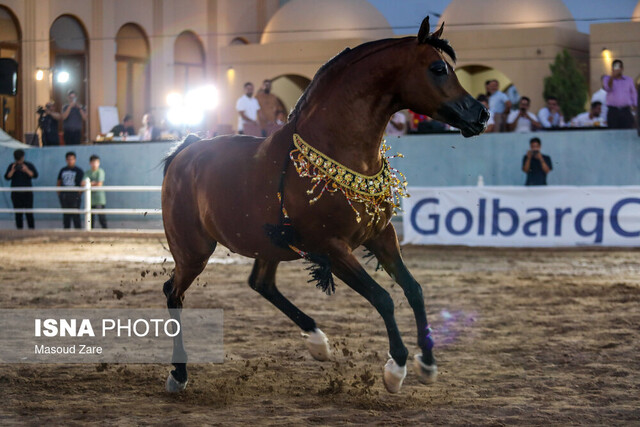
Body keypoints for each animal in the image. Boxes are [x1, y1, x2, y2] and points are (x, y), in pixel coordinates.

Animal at [162, 16, 488, 394]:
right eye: (438, 68)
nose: (481, 114)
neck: (339, 150)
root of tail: (185, 152)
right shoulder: (333, 248)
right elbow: (383, 297)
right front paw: (396, 368)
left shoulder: (381, 235)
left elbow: (414, 289)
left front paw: (428, 362)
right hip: (193, 251)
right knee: (174, 293)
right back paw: (178, 373)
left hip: (269, 245)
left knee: (261, 284)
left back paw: (317, 341)